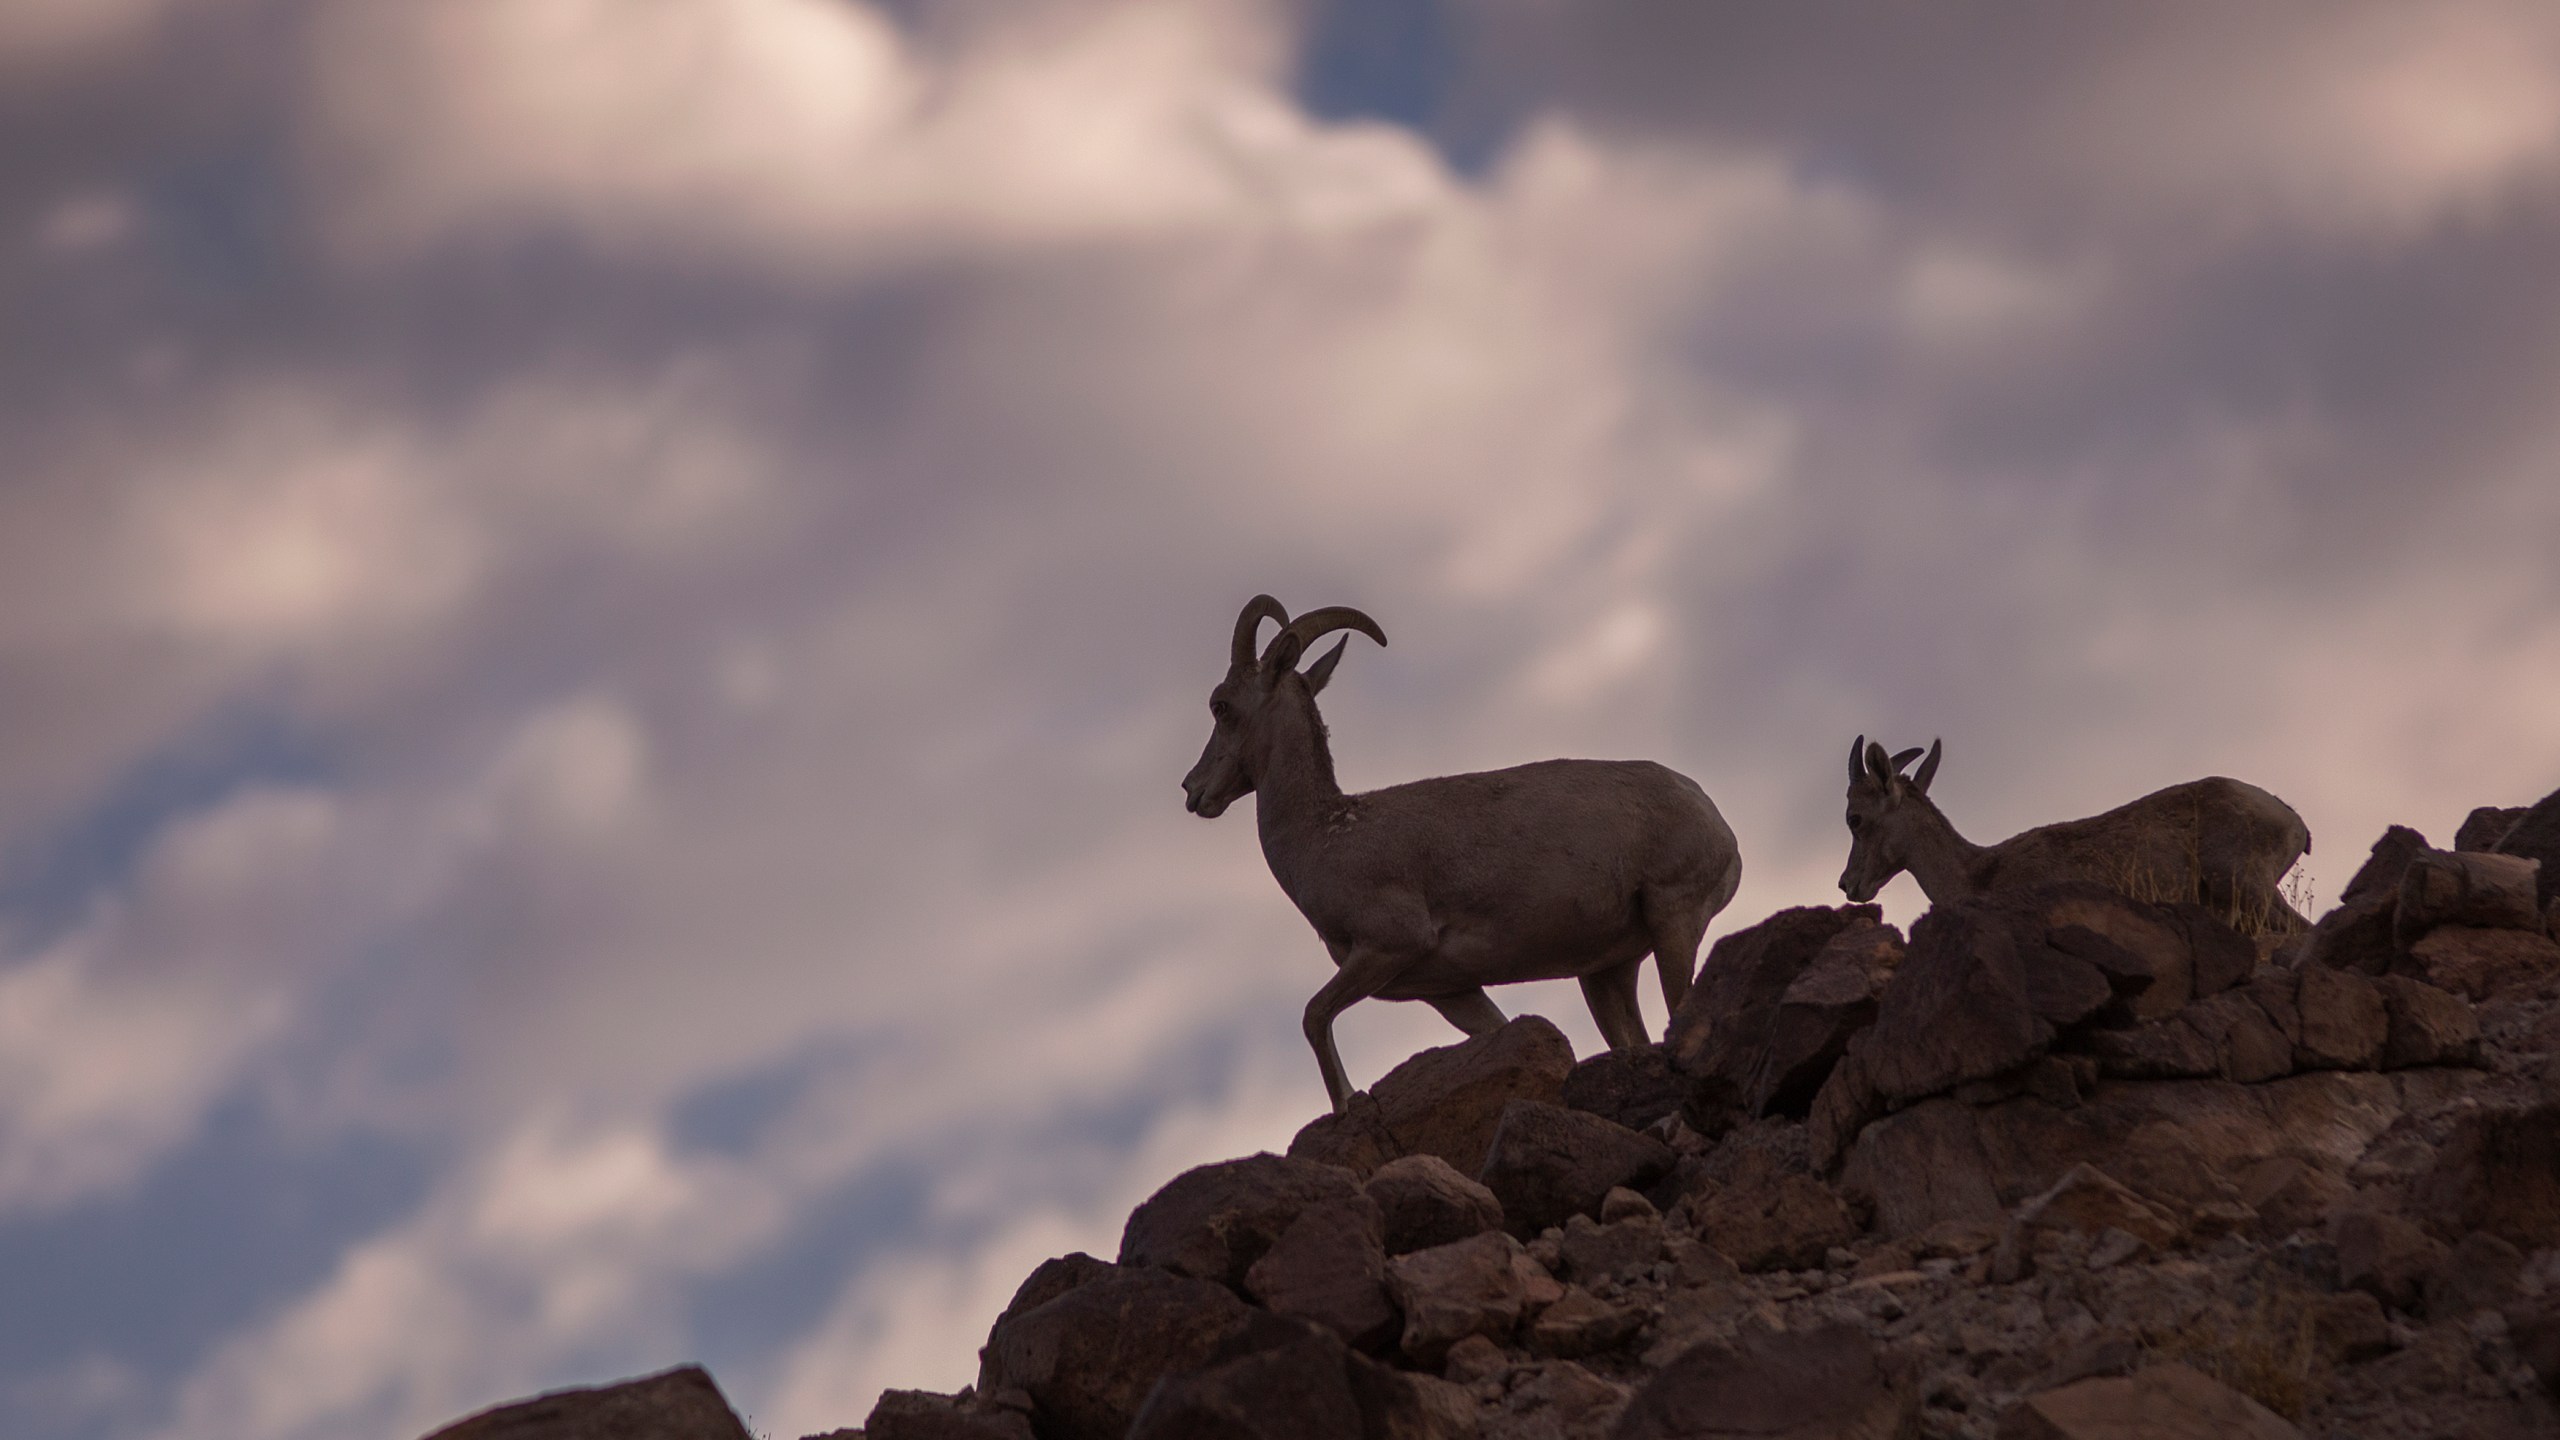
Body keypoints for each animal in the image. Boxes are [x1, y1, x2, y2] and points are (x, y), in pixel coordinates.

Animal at [1187, 594, 1751, 1112]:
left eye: (1221, 705)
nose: (1193, 790)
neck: (1325, 835)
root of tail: (1715, 821)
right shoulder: (1451, 991)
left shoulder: (1389, 945)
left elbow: (1314, 1015)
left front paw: (1348, 1100)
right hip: (1605, 972)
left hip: (1673, 920)